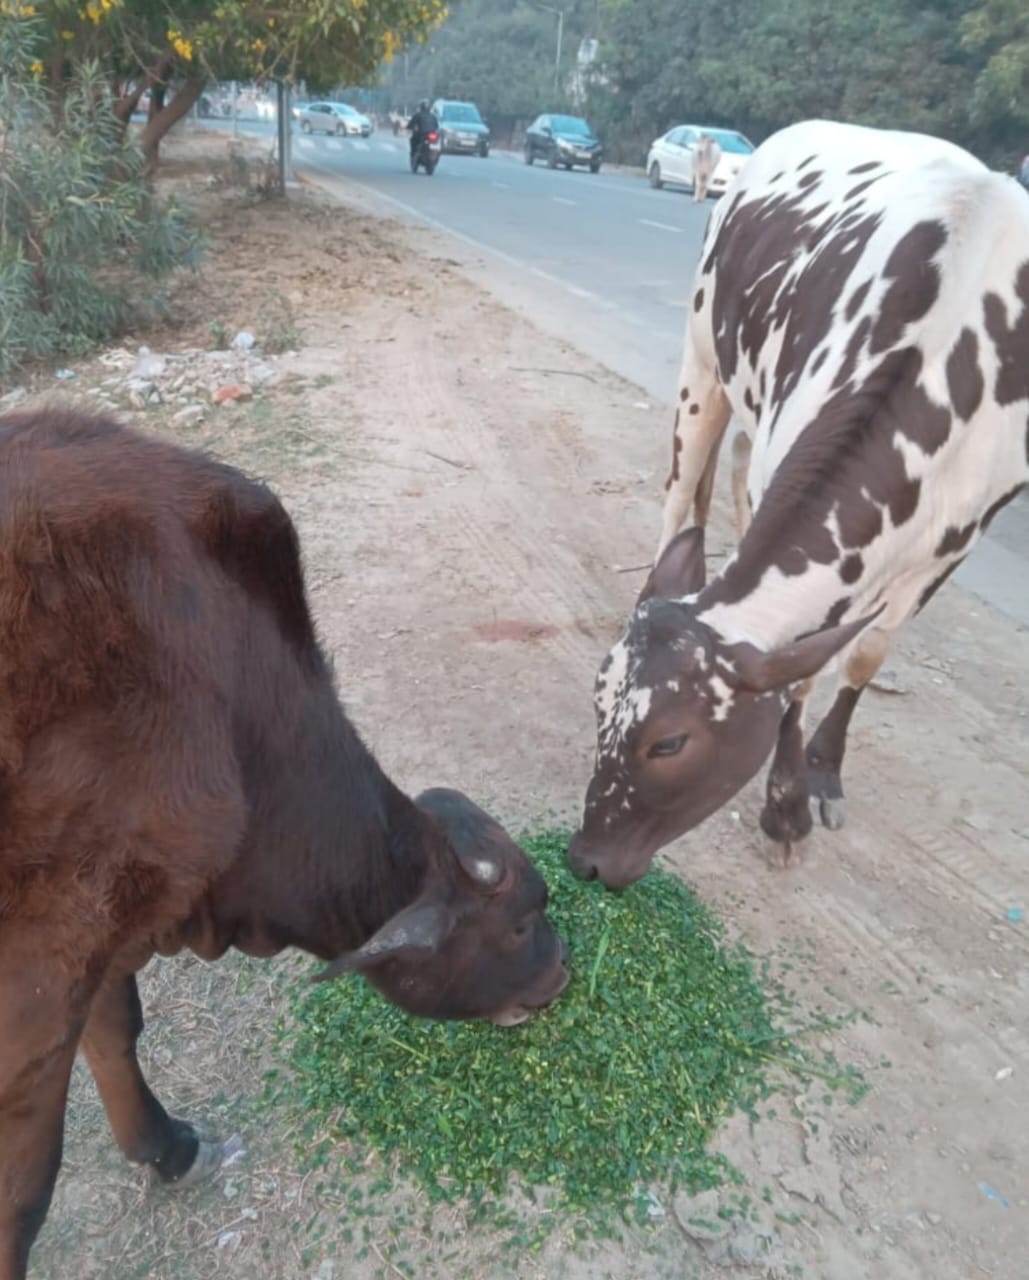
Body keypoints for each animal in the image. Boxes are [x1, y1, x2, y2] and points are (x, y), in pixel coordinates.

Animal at [0, 408, 569, 1280]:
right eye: (517, 922)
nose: (564, 969)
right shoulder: (42, 975)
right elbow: (25, 1190)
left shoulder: (103, 934)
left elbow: (117, 1028)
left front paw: (161, 1143)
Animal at [569, 119, 1029, 890]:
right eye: (598, 702)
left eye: (670, 743)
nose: (587, 860)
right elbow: (803, 667)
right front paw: (783, 807)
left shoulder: (957, 540)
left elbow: (862, 657)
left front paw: (819, 777)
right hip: (704, 366)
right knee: (680, 497)